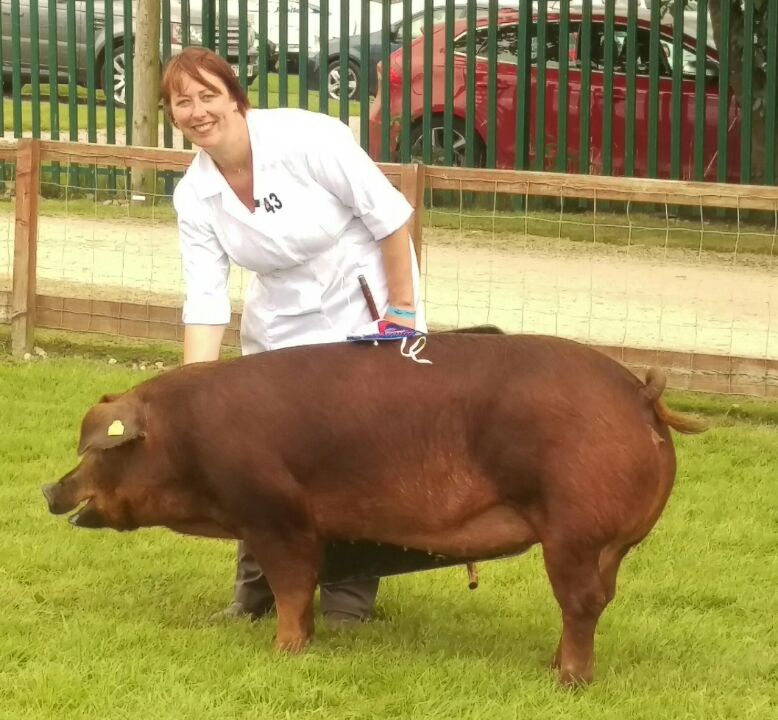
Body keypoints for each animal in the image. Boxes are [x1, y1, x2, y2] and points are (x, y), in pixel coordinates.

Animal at [42, 332, 706, 685]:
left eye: (97, 451)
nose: (48, 490)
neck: (186, 442)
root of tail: (641, 393)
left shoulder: (276, 513)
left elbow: (291, 585)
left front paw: (284, 652)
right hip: (607, 543)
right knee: (596, 601)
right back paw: (555, 666)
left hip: (573, 530)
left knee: (582, 603)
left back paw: (568, 681)